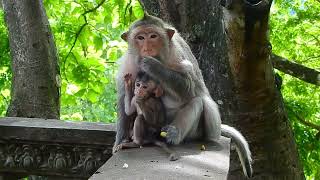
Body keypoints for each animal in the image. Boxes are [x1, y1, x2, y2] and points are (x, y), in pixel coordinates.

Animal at [115, 13, 252, 177]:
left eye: (153, 36)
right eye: (140, 37)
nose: (147, 48)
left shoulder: (178, 55)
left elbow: (189, 87)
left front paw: (153, 65)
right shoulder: (128, 66)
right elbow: (124, 103)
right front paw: (120, 141)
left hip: (199, 131)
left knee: (201, 101)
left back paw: (175, 134)